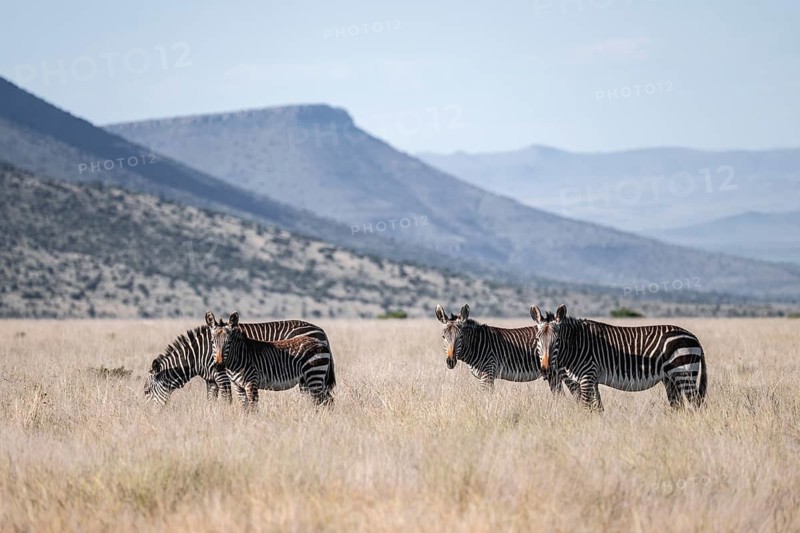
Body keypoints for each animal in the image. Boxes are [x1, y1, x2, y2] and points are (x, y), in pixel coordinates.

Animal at [144, 316, 331, 405]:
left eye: (146, 391)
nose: (149, 415)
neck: (199, 354)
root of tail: (320, 329)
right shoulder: (211, 380)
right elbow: (210, 401)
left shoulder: (222, 376)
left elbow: (227, 400)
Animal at [529, 304, 707, 411]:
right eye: (537, 339)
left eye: (557, 340)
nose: (545, 369)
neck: (577, 344)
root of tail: (694, 337)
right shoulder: (593, 379)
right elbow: (598, 408)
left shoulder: (587, 377)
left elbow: (587, 407)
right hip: (670, 378)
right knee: (678, 406)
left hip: (683, 372)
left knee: (695, 403)